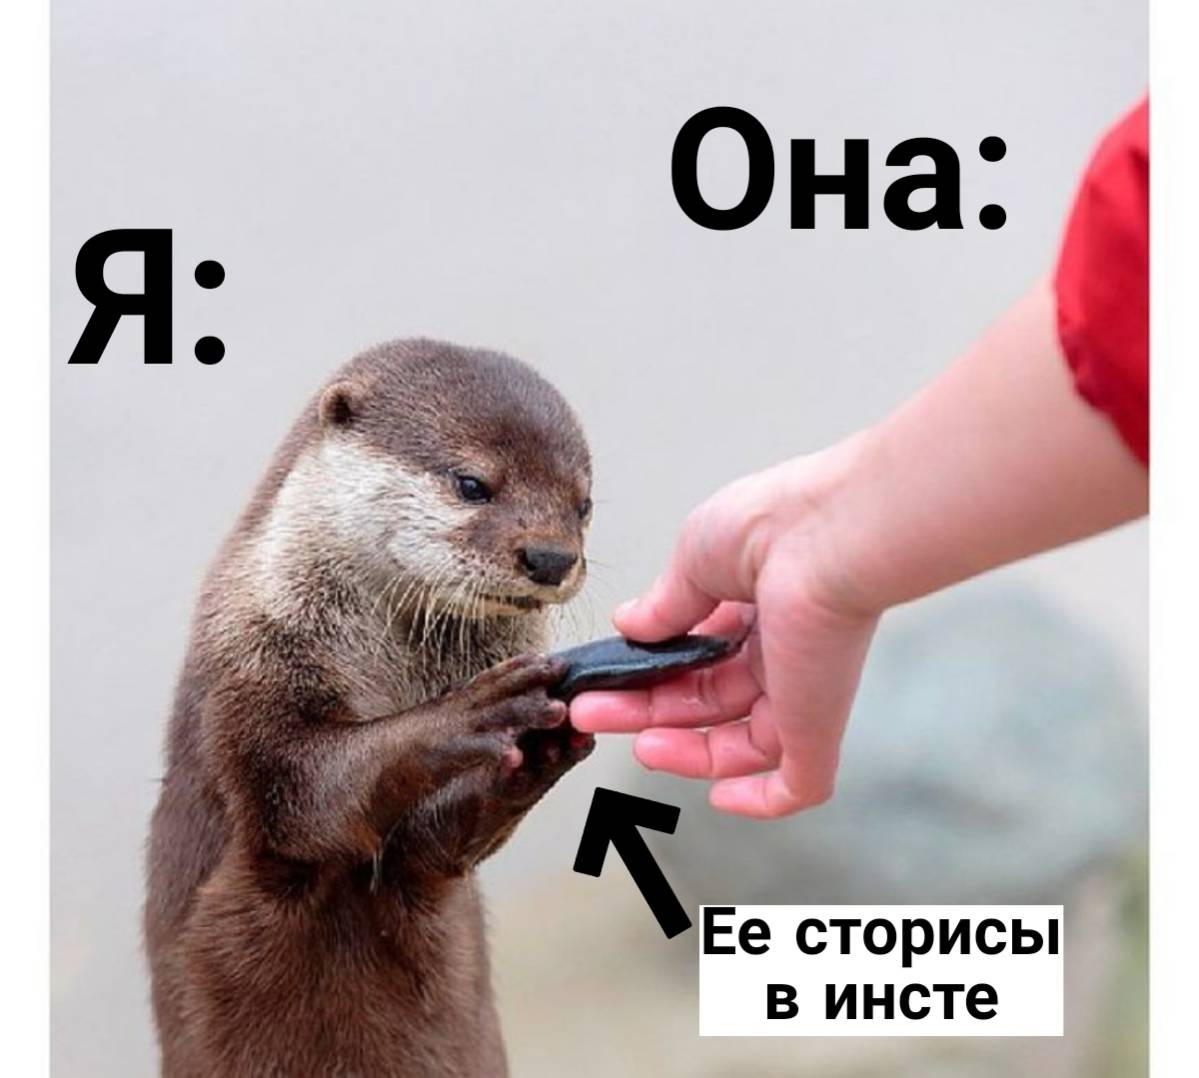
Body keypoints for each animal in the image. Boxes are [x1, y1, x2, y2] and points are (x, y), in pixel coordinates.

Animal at [144, 339, 596, 1077]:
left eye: (583, 504)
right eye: (473, 484)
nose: (552, 557)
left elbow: (435, 843)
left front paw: (537, 756)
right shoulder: (252, 662)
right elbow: (300, 792)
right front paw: (477, 709)